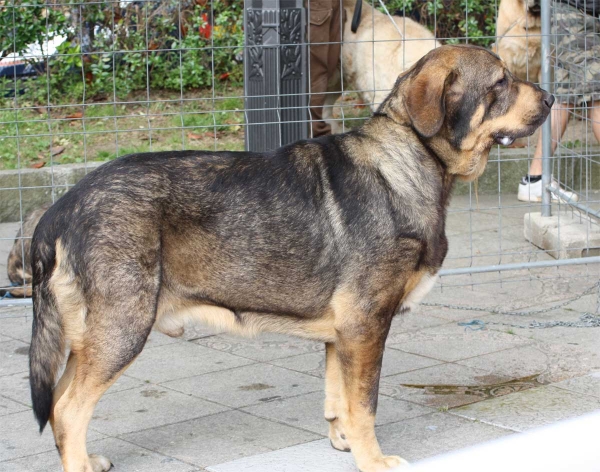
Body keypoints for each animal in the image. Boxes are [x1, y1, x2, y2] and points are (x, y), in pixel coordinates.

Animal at [29, 44, 552, 472]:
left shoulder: (342, 335)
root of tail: (62, 208)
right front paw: (374, 460)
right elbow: (365, 405)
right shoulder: (367, 325)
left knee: (56, 403)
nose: (550, 99)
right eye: (500, 82)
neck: (408, 159)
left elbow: (339, 400)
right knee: (70, 409)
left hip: (90, 337)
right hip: (123, 327)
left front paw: (344, 444)